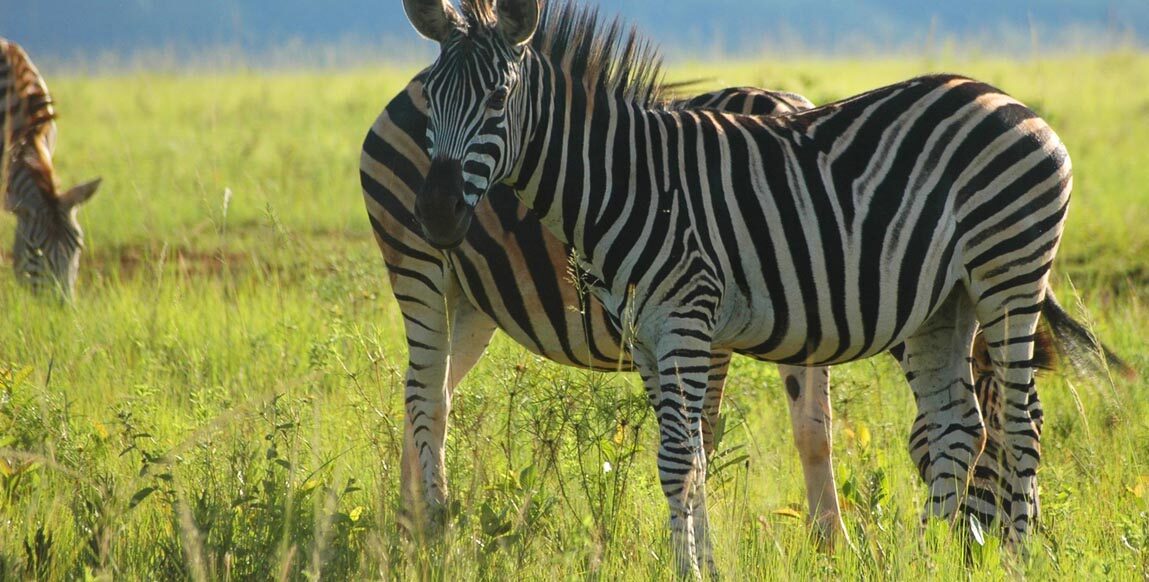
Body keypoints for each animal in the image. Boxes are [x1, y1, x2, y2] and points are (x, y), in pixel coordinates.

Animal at [402, 0, 1132, 575]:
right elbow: (687, 457)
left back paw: (1014, 559)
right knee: (957, 428)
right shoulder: (646, 336)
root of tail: (1004, 97)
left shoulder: (686, 318)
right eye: (429, 101)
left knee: (1018, 425)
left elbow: (680, 459)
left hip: (1008, 272)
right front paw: (698, 562)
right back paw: (927, 560)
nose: (435, 213)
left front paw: (690, 571)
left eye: (498, 100)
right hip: (944, 303)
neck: (623, 181)